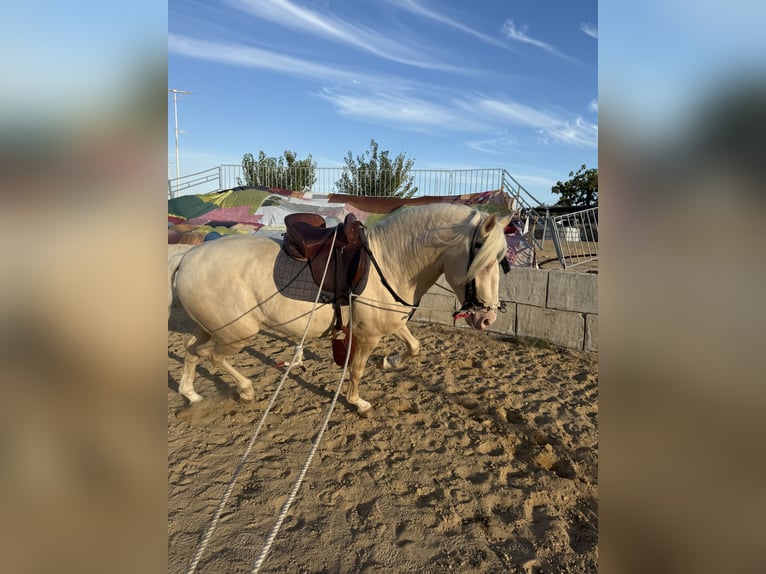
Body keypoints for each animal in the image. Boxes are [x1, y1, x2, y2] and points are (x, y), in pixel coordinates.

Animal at [171, 207, 512, 418]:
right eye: (484, 262)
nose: (488, 318)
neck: (389, 262)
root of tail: (187, 257)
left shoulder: (389, 324)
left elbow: (414, 346)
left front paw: (391, 362)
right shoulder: (367, 336)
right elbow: (357, 371)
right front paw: (358, 402)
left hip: (211, 327)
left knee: (191, 350)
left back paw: (191, 394)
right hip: (236, 334)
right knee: (211, 356)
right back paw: (244, 390)